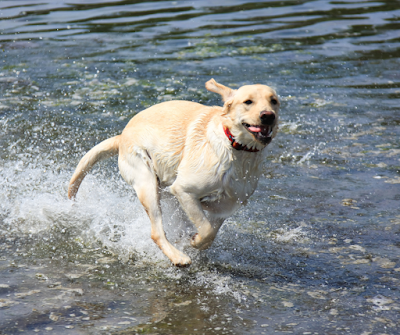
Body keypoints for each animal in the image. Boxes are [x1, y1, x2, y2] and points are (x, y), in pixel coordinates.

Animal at [69, 79, 280, 268]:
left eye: (274, 101)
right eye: (248, 102)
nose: (268, 116)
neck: (237, 148)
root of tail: (122, 136)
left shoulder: (229, 204)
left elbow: (212, 227)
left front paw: (195, 238)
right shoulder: (184, 190)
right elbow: (206, 229)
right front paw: (195, 241)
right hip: (147, 183)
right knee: (156, 232)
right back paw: (178, 257)